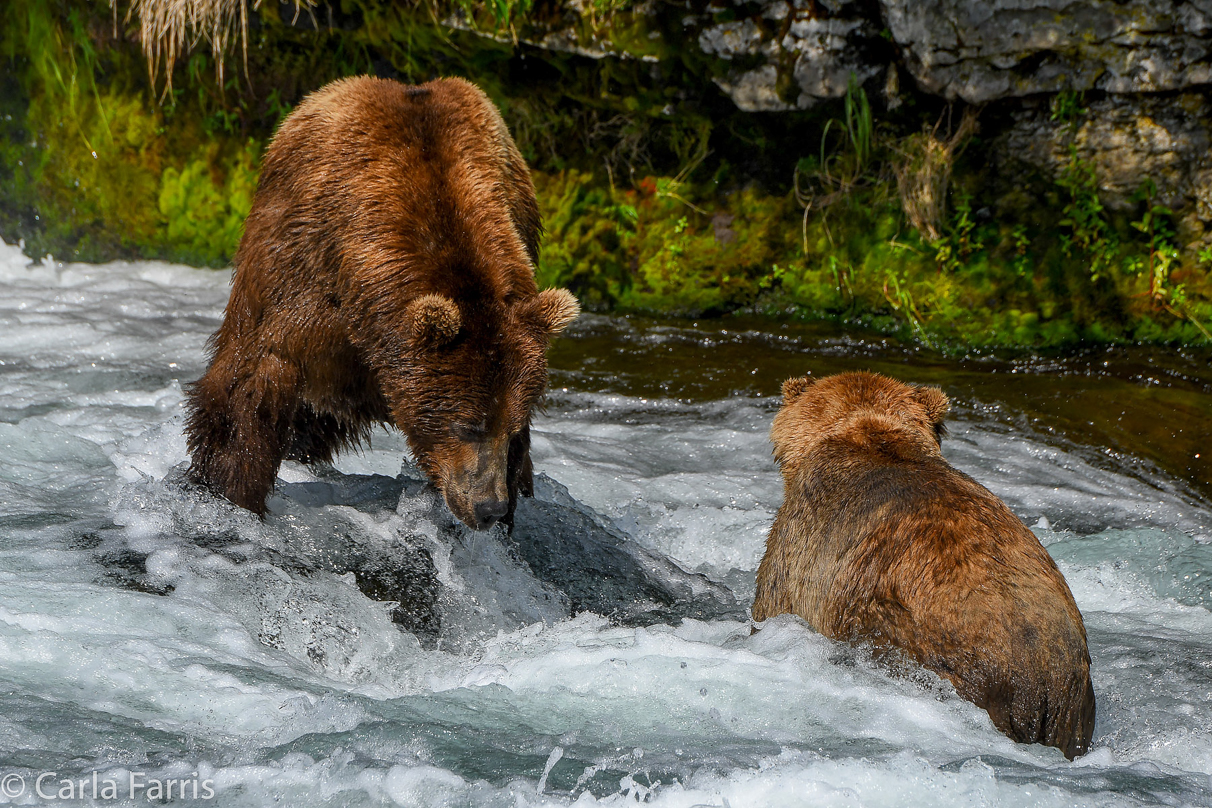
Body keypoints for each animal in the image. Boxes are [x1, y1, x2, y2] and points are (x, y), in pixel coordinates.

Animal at [181, 77, 579, 530]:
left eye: (510, 430)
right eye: (468, 426)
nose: (489, 507)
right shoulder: (301, 289)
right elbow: (252, 387)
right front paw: (229, 493)